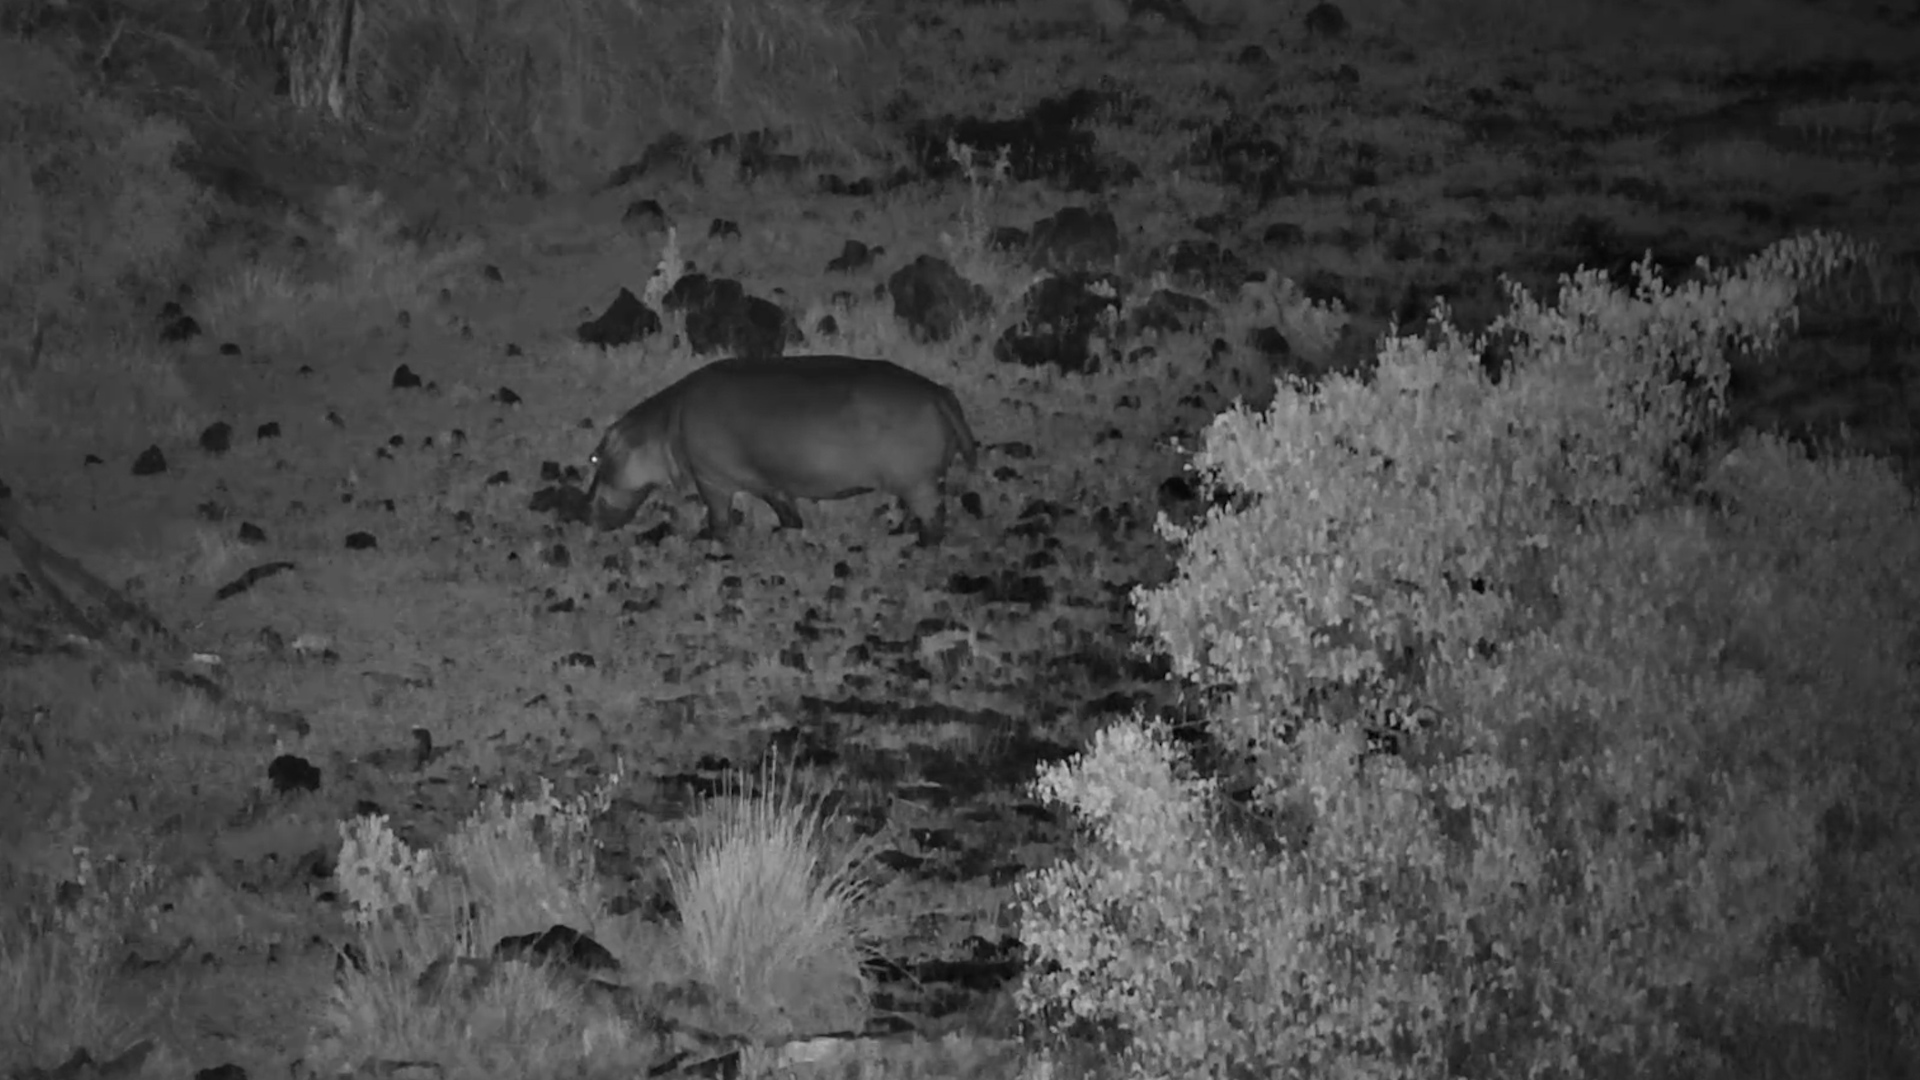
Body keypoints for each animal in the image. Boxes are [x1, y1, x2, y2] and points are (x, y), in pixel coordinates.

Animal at [586, 355, 978, 544]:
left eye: (596, 457)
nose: (581, 512)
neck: (663, 426)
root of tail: (941, 394)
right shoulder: (768, 480)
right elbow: (786, 510)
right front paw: (785, 531)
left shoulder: (710, 479)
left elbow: (719, 518)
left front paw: (704, 538)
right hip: (918, 480)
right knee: (918, 512)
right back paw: (900, 533)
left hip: (919, 482)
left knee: (933, 519)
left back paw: (920, 544)